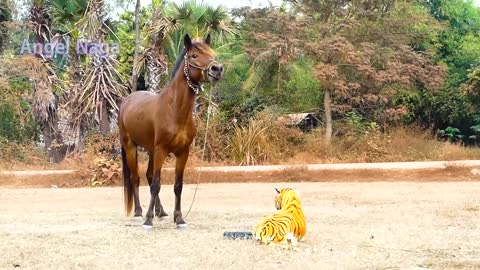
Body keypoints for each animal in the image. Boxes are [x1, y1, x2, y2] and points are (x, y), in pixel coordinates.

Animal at [118, 34, 223, 228]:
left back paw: (161, 211)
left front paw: (179, 218)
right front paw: (148, 220)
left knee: (148, 175)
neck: (175, 110)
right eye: (194, 55)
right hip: (131, 146)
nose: (217, 69)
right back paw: (139, 213)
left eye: (212, 53)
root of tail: (127, 101)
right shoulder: (161, 150)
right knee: (136, 178)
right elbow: (156, 184)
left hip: (150, 150)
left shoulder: (183, 153)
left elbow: (177, 186)